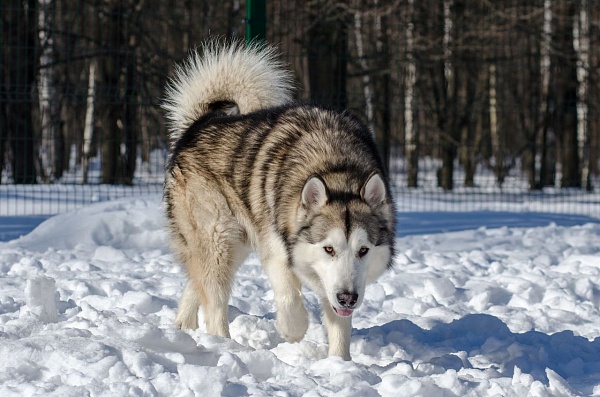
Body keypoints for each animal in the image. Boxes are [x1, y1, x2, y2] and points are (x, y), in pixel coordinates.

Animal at [161, 40, 394, 358]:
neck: (335, 166)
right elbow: (289, 297)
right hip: (220, 239)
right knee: (215, 301)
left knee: (198, 287)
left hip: (235, 243)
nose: (348, 297)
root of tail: (201, 123)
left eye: (363, 250)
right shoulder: (276, 251)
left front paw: (340, 363)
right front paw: (292, 331)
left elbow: (339, 326)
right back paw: (224, 345)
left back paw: (183, 330)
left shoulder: (333, 283)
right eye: (329, 249)